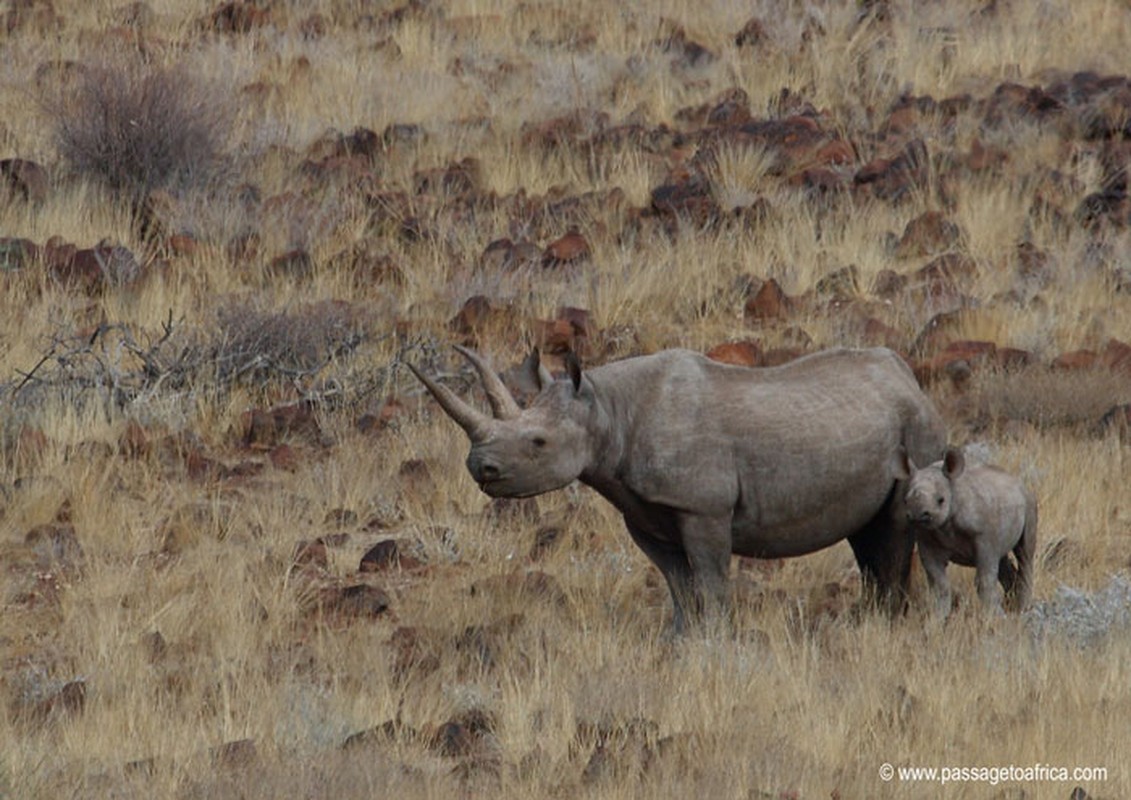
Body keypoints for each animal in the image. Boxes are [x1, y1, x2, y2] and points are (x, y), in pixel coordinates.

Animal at [895, 450, 1035, 615]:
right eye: (905, 500)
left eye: (941, 500)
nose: (917, 515)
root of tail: (1018, 482)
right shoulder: (926, 538)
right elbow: (939, 583)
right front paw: (938, 617)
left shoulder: (985, 538)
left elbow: (984, 579)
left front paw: (995, 615)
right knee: (1002, 558)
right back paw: (1012, 606)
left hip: (1029, 501)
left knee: (1025, 553)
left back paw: (1023, 609)